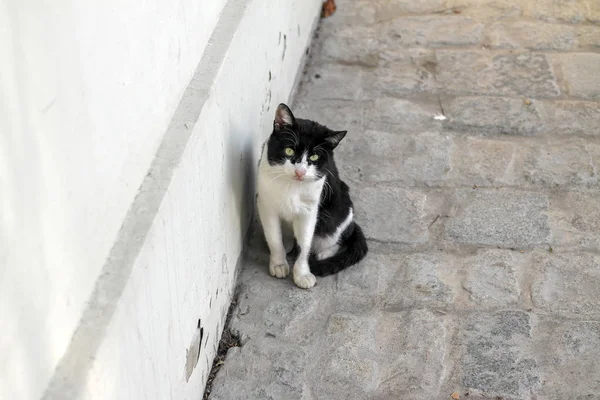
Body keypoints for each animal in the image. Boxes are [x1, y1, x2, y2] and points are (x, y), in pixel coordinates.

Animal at [256, 102, 368, 288]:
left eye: (314, 156)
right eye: (289, 151)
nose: (300, 171)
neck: (292, 186)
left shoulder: (309, 210)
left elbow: (305, 243)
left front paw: (302, 273)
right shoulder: (266, 204)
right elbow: (274, 237)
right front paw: (279, 264)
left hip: (341, 209)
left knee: (337, 233)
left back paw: (324, 253)